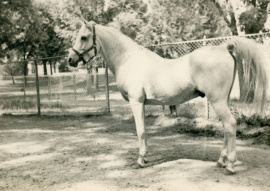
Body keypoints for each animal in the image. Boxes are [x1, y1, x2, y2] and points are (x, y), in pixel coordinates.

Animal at [68, 20, 268, 175]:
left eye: (84, 37)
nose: (70, 60)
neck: (128, 59)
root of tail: (223, 47)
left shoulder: (136, 102)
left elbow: (140, 131)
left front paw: (140, 161)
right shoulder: (142, 104)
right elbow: (144, 131)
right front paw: (145, 158)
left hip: (217, 101)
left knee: (231, 125)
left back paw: (230, 166)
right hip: (222, 101)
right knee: (227, 127)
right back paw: (221, 161)